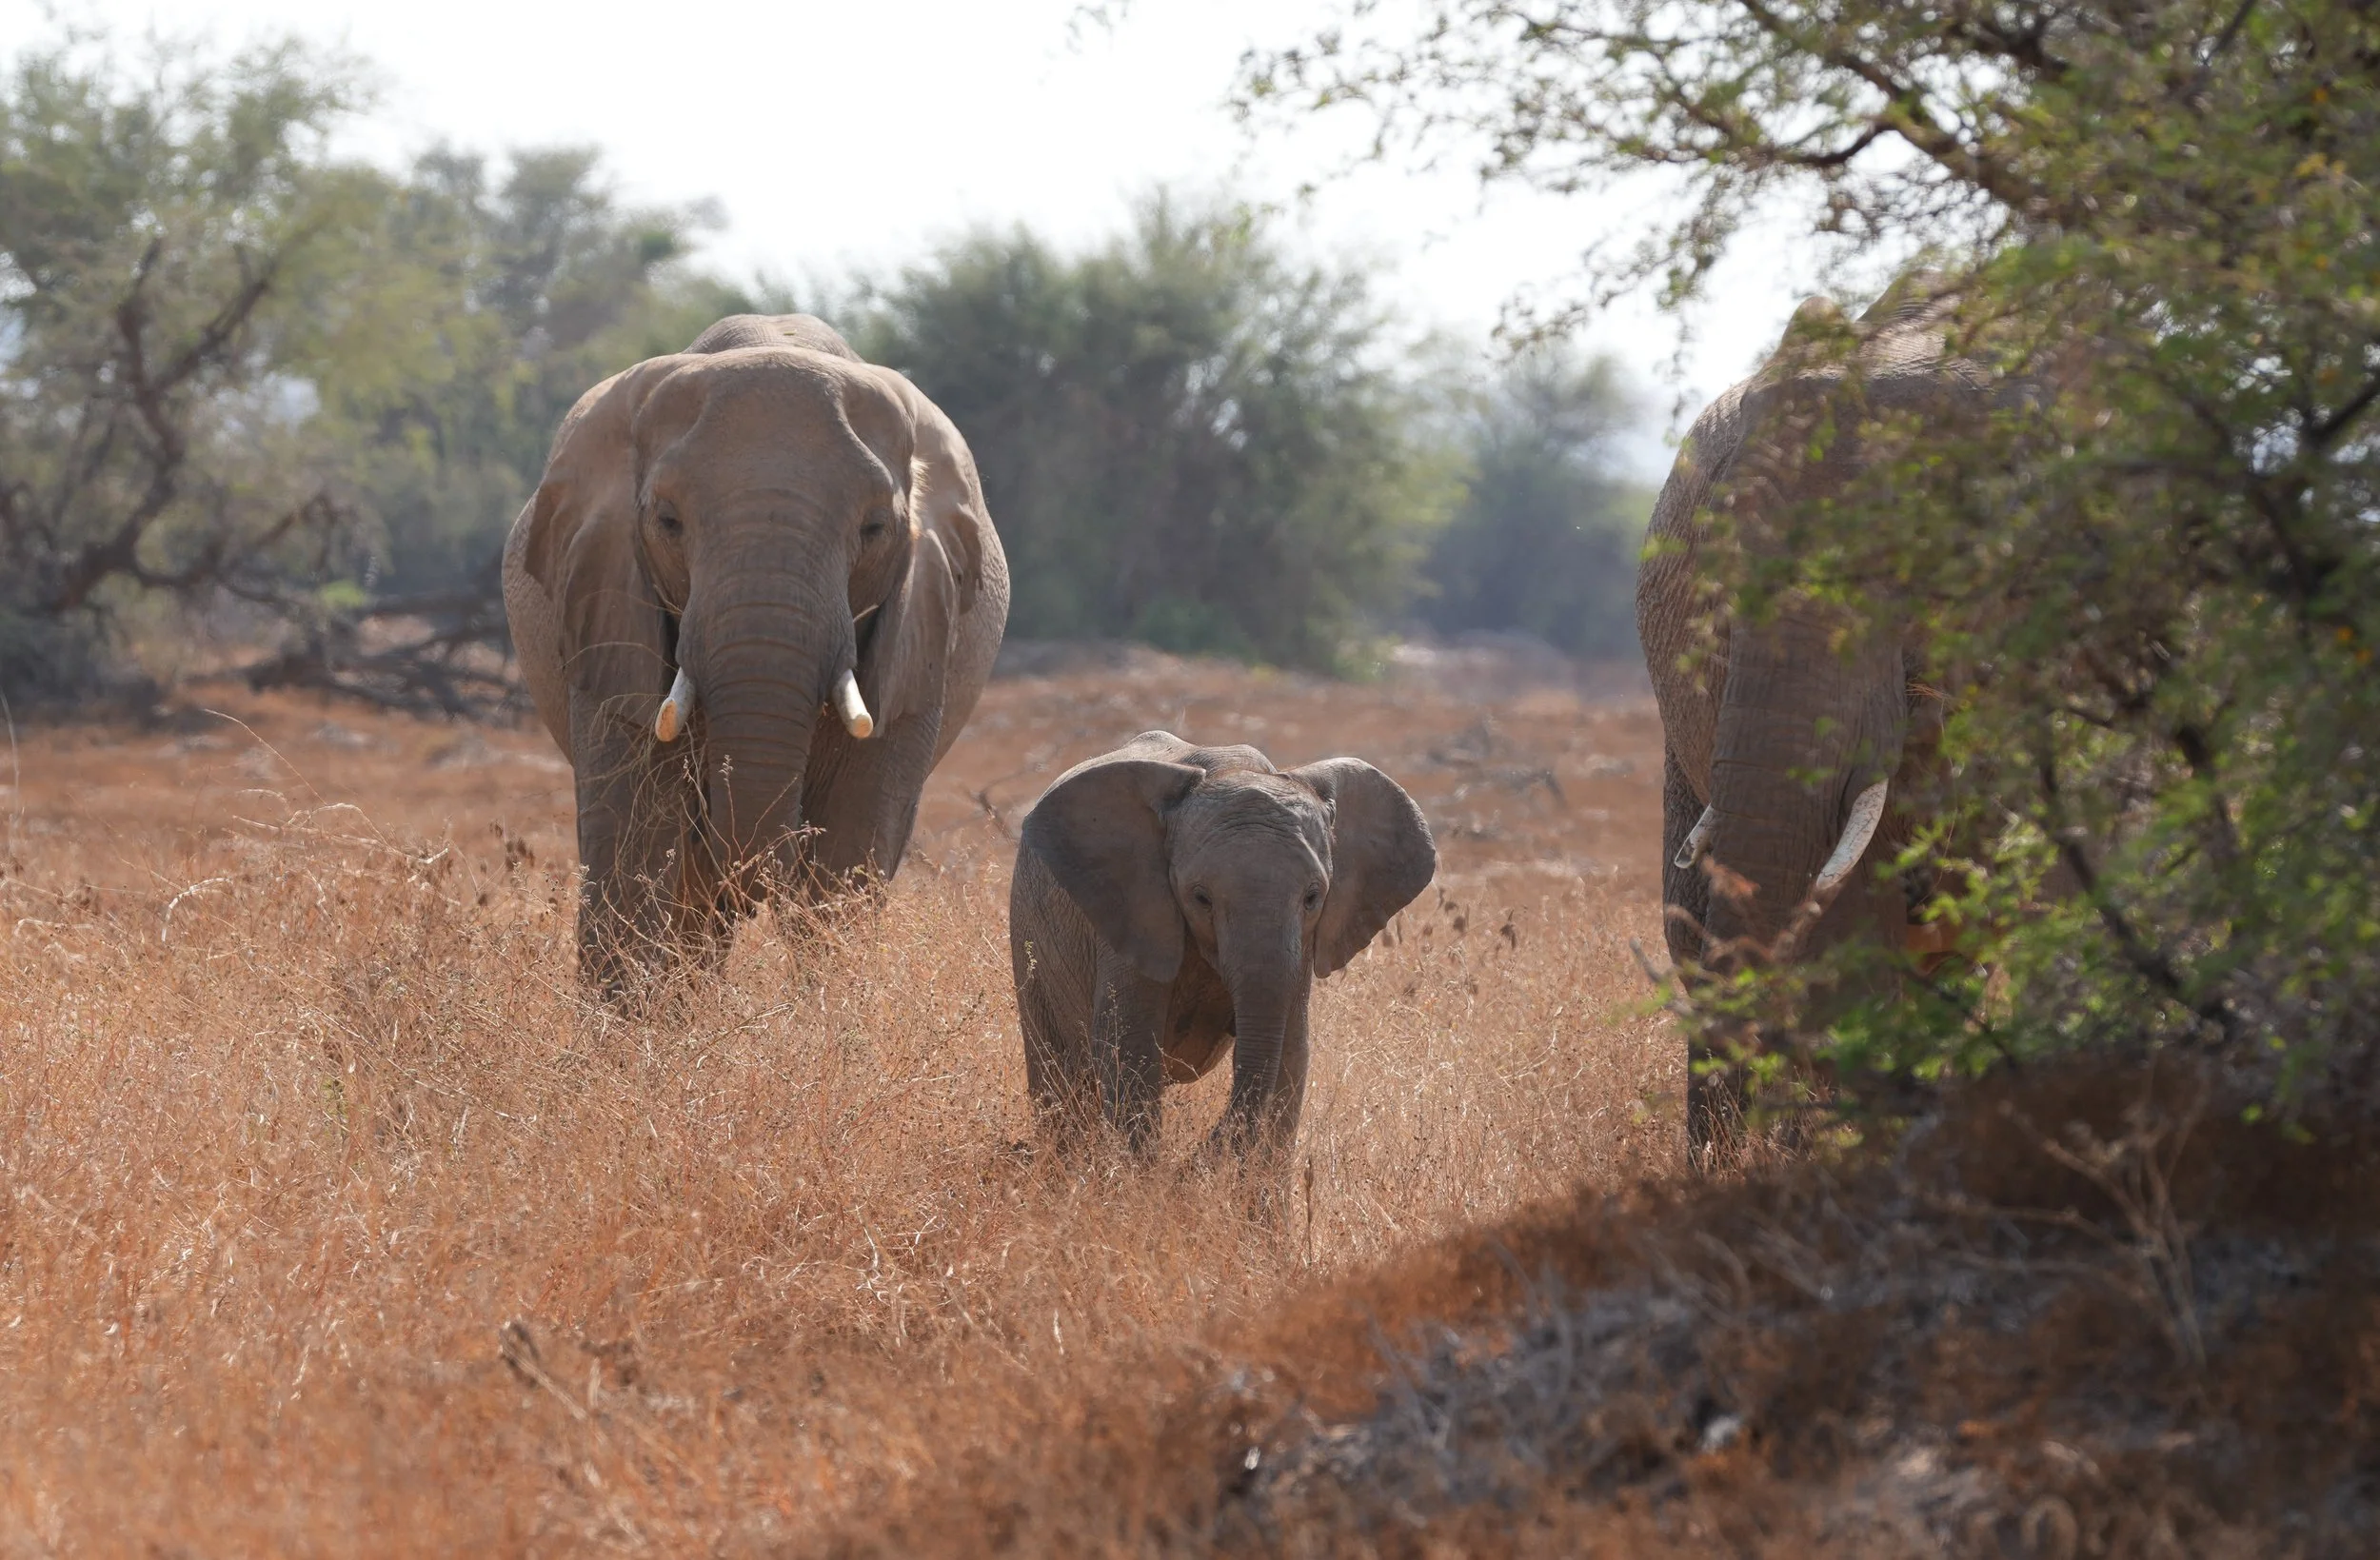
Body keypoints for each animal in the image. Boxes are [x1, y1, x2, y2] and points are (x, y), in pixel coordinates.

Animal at [503, 313, 1009, 987]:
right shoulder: (605, 601)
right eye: (667, 521)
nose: (751, 889)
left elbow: (846, 859)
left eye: (875, 529)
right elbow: (634, 843)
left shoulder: (921, 624)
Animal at [1009, 732, 1437, 1162]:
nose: (1189, 1163)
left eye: (1313, 897)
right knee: (1058, 1075)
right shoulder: (1132, 907)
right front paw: (1141, 1177)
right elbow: (1127, 1044)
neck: (1232, 768)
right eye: (1201, 898)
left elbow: (1291, 1052)